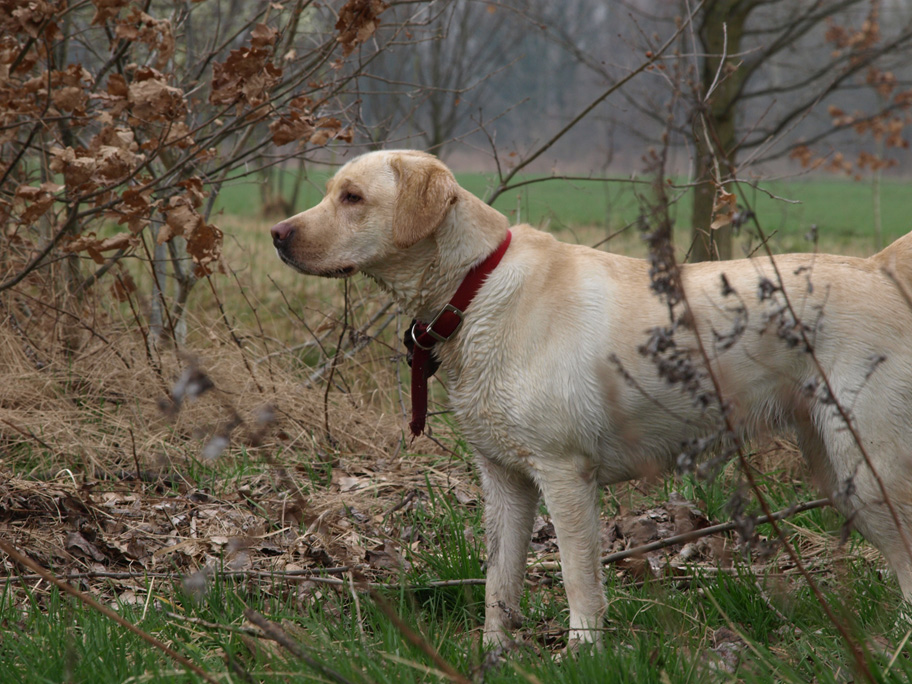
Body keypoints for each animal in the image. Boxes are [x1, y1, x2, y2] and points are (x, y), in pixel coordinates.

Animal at [272, 148, 912, 648]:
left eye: (352, 197)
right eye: (331, 192)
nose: (278, 235)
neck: (475, 288)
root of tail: (880, 269)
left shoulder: (564, 474)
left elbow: (579, 579)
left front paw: (582, 654)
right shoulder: (504, 481)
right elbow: (499, 584)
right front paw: (494, 655)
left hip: (869, 465)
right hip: (837, 467)